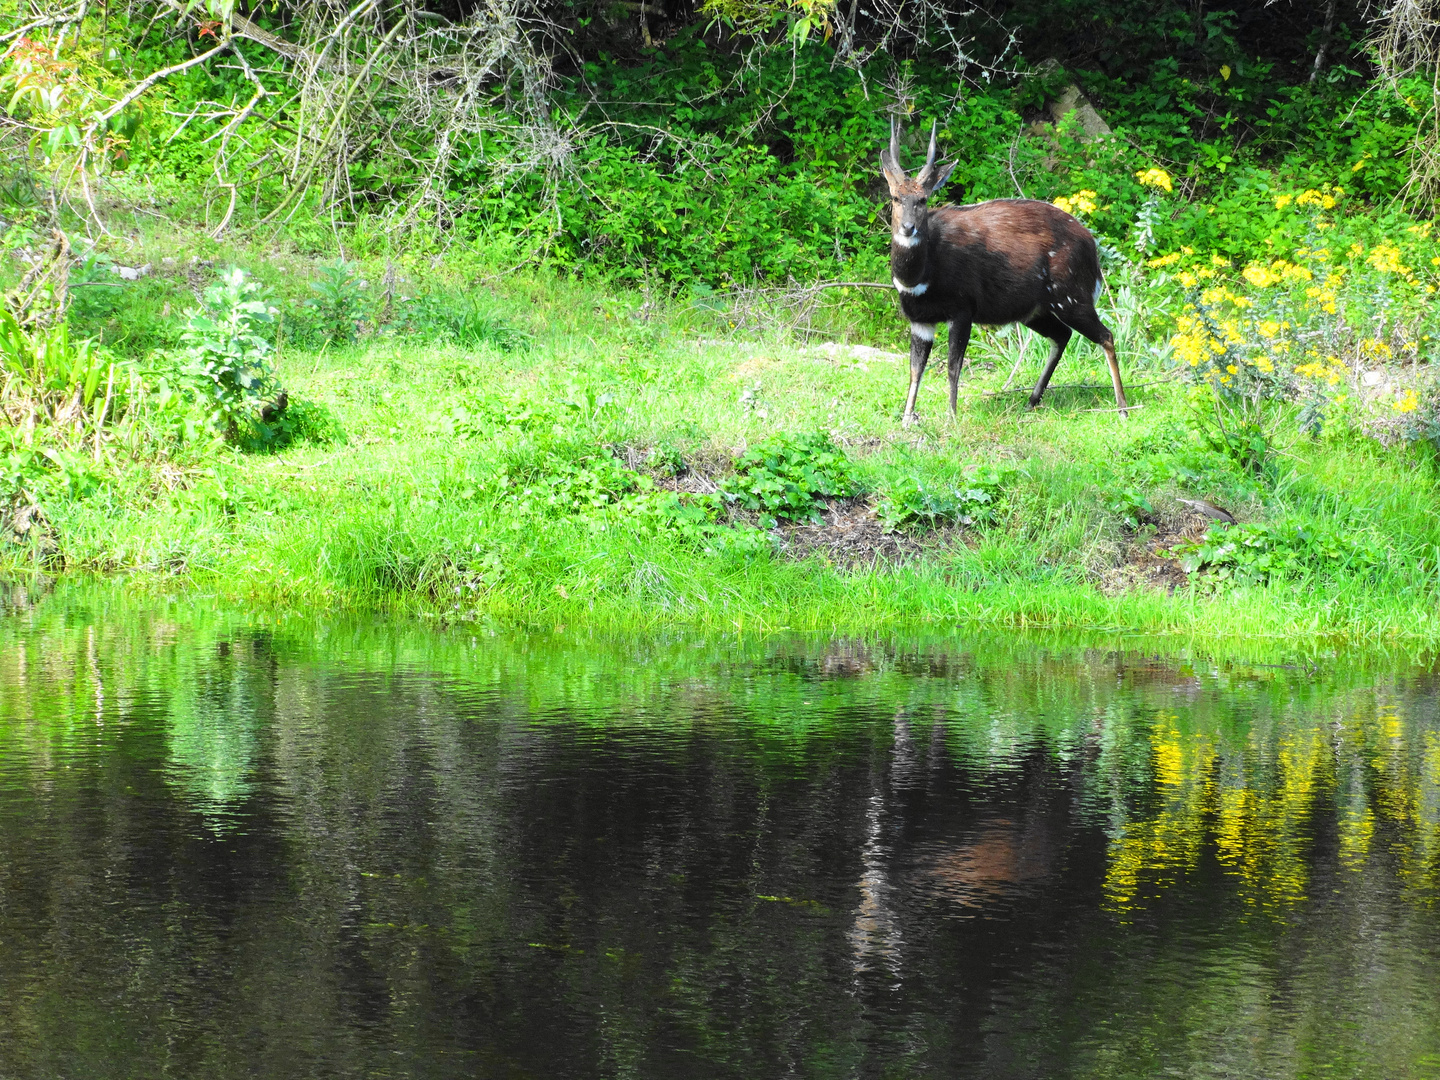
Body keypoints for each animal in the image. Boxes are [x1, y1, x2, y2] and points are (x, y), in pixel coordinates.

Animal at [869, 118, 1128, 423]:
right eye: (895, 198)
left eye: (923, 200)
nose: (908, 228)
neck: (920, 278)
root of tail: (1092, 247)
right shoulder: (920, 320)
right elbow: (915, 369)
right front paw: (907, 418)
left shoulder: (963, 310)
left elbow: (953, 367)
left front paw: (951, 417)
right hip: (1035, 311)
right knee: (1063, 335)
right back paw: (1031, 400)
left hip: (1071, 298)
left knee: (1106, 336)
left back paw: (1122, 408)